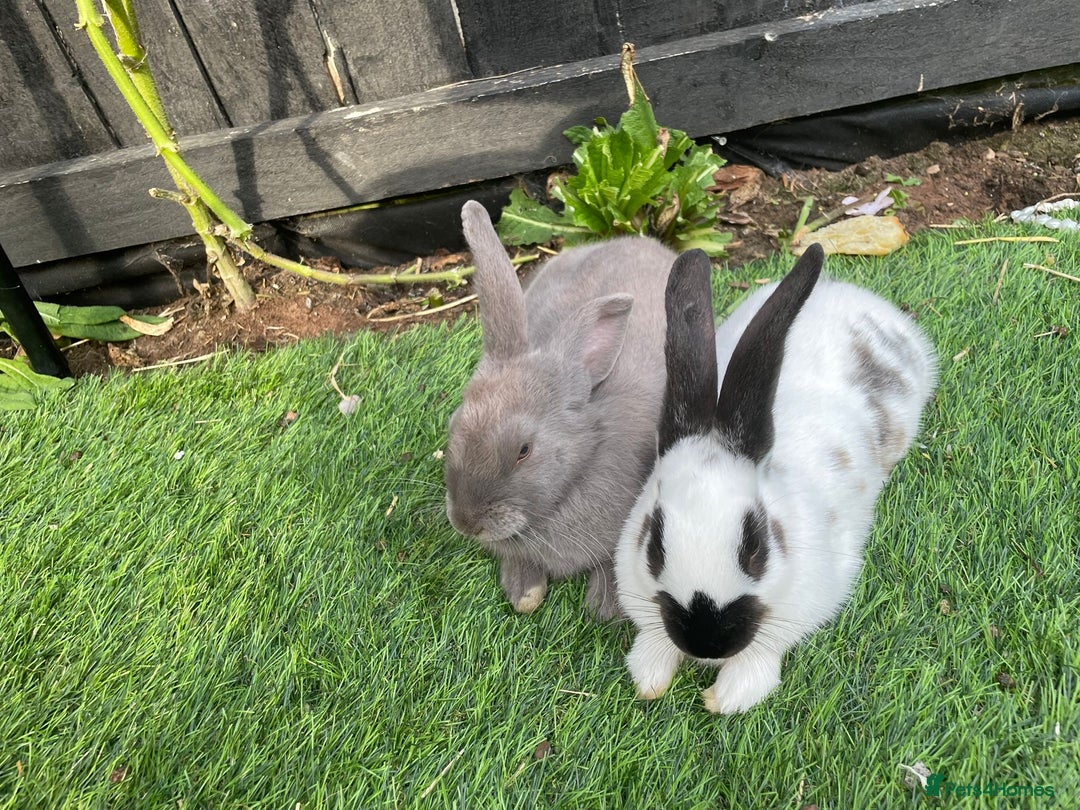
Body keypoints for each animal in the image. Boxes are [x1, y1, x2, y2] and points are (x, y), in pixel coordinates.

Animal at [614, 244, 937, 713]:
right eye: (653, 546)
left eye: (756, 547)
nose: (706, 643)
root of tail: (854, 295)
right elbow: (653, 641)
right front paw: (650, 678)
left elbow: (761, 657)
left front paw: (726, 697)